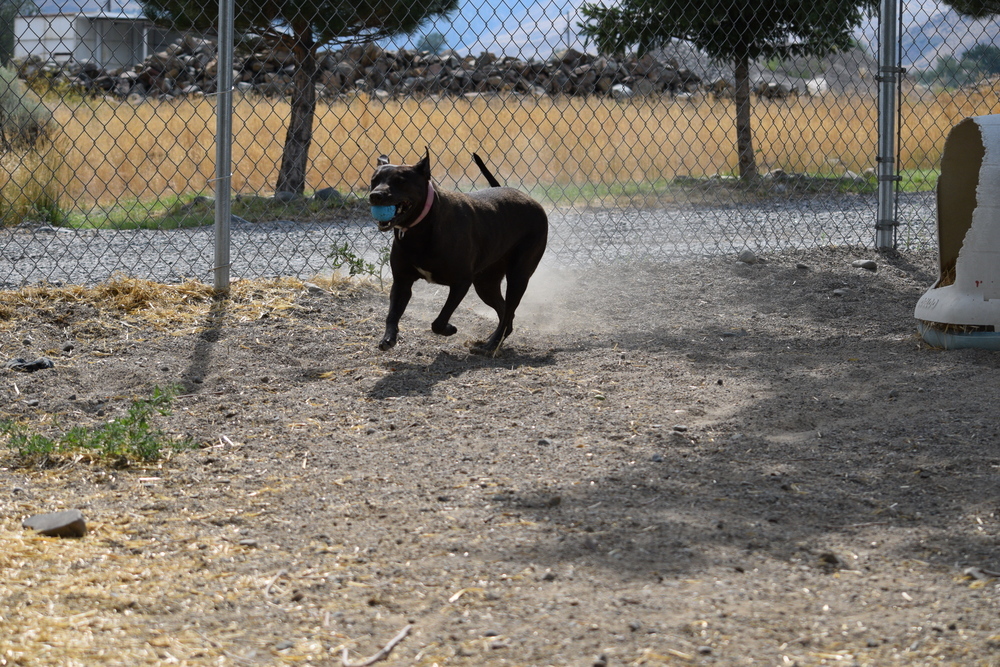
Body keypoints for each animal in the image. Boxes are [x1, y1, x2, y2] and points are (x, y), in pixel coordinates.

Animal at [372, 151, 552, 354]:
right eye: (374, 180)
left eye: (400, 181)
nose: (375, 195)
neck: (420, 227)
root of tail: (530, 200)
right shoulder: (402, 281)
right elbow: (392, 314)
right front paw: (388, 338)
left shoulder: (461, 282)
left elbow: (439, 321)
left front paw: (449, 328)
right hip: (485, 283)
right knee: (506, 311)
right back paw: (493, 340)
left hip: (518, 277)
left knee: (508, 311)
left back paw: (491, 345)